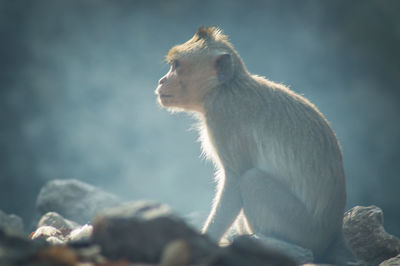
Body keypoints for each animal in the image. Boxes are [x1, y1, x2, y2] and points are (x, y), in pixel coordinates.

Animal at [155, 26, 346, 258]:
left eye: (177, 66)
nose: (161, 81)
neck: (225, 88)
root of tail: (330, 236)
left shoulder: (223, 116)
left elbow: (235, 179)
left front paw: (206, 240)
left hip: (300, 228)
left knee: (252, 180)